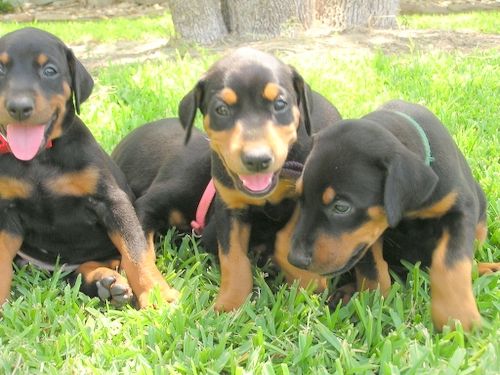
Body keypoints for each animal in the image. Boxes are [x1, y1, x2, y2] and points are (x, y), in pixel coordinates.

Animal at [0, 26, 180, 308]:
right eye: (0, 69)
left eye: (49, 70)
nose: (18, 107)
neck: (40, 159)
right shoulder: (6, 213)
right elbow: (0, 263)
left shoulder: (111, 201)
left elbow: (136, 252)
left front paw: (157, 295)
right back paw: (105, 283)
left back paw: (109, 283)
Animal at [113, 47, 342, 312]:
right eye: (221, 109)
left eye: (280, 104)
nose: (257, 159)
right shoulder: (227, 207)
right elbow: (231, 258)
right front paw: (229, 303)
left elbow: (286, 238)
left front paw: (307, 284)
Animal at [290, 100, 500, 332]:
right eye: (300, 198)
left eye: (341, 207)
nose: (295, 260)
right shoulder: (368, 235)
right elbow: (372, 268)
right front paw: (373, 302)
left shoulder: (460, 210)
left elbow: (451, 263)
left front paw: (457, 318)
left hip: (480, 223)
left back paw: (489, 269)